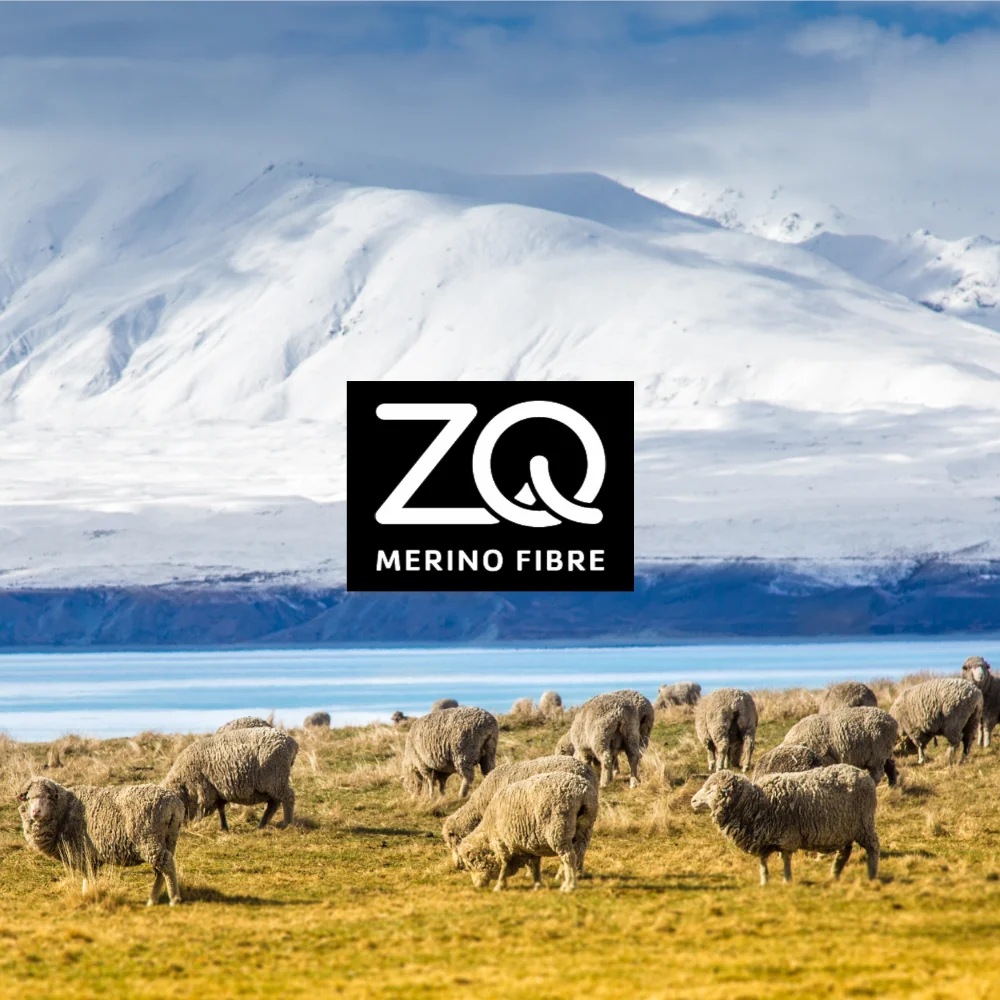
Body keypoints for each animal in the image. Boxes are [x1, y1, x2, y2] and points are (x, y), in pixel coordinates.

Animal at [17, 777, 184, 906]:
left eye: (48, 797)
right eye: (29, 798)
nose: (35, 812)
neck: (64, 810)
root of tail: (172, 803)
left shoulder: (82, 852)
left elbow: (88, 877)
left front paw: (87, 894)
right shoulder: (90, 857)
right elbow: (91, 876)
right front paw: (88, 893)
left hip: (147, 837)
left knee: (166, 864)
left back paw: (174, 899)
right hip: (168, 838)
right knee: (161, 869)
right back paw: (153, 899)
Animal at [162, 727, 298, 830]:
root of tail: (291, 743)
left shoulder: (204, 790)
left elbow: (202, 810)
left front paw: (195, 825)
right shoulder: (217, 792)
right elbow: (221, 810)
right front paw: (224, 828)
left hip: (276, 778)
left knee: (288, 797)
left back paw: (287, 823)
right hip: (272, 784)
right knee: (273, 803)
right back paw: (261, 825)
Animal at [442, 755, 596, 869]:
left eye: (453, 843)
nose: (457, 866)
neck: (481, 803)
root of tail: (586, 771)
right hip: (585, 822)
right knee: (580, 847)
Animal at [456, 771, 598, 892]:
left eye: (470, 865)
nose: (477, 886)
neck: (489, 830)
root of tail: (582, 792)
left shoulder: (503, 843)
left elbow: (504, 865)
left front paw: (500, 885)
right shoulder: (531, 843)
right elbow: (535, 864)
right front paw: (538, 884)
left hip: (559, 829)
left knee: (568, 856)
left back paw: (570, 885)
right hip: (584, 827)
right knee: (578, 853)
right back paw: (571, 878)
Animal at [691, 765, 879, 885]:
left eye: (711, 790)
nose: (692, 801)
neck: (757, 802)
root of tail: (863, 774)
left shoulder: (788, 837)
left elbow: (786, 860)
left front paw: (787, 880)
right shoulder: (761, 839)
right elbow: (763, 862)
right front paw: (764, 881)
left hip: (864, 824)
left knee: (873, 847)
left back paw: (871, 875)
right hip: (845, 829)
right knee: (845, 852)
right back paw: (834, 874)